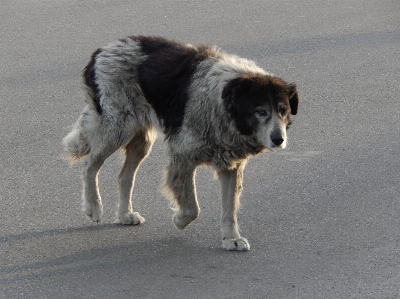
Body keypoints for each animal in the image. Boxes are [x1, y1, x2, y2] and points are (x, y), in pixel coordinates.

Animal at [62, 36, 298, 252]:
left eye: (283, 110)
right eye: (260, 111)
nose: (279, 139)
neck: (224, 103)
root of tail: (102, 50)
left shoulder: (231, 165)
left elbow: (229, 209)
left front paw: (231, 239)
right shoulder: (182, 158)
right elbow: (193, 207)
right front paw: (179, 220)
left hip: (141, 140)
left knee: (124, 176)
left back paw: (125, 215)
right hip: (117, 128)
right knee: (90, 165)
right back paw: (93, 206)